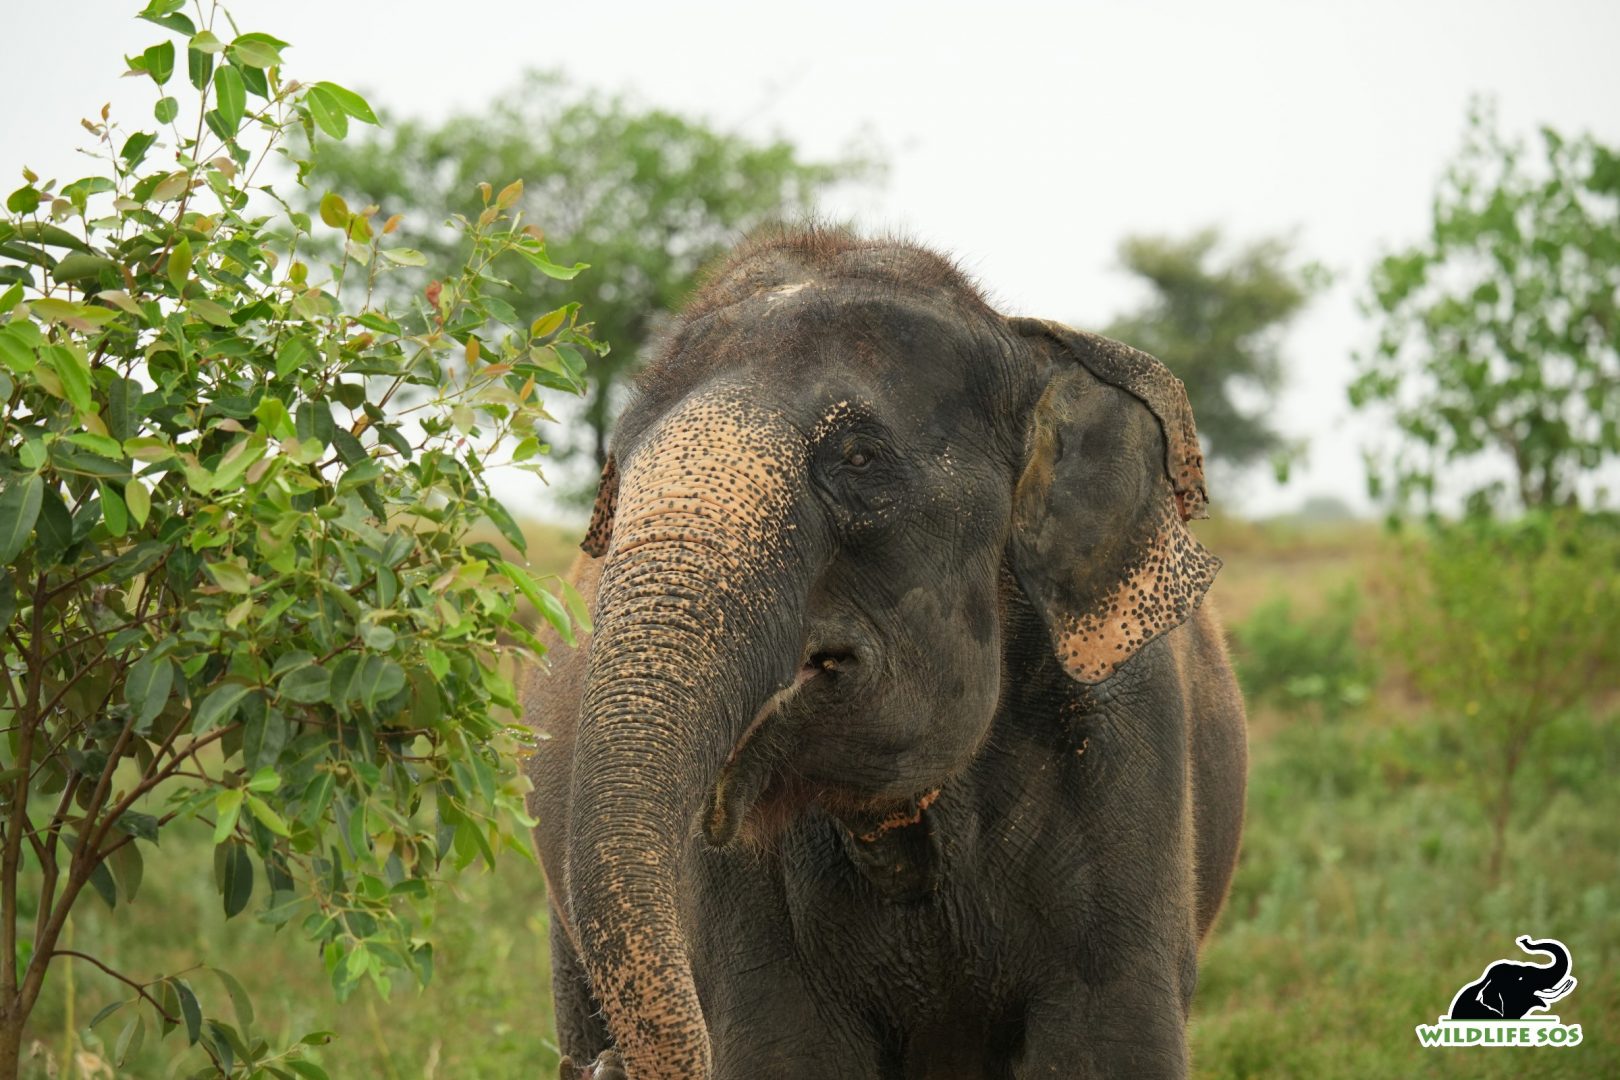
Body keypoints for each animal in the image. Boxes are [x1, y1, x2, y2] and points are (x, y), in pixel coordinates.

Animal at [524, 229, 1244, 1080]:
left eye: (861, 459)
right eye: (616, 476)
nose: (602, 1066)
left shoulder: (1128, 752)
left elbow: (1110, 1045)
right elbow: (786, 1051)